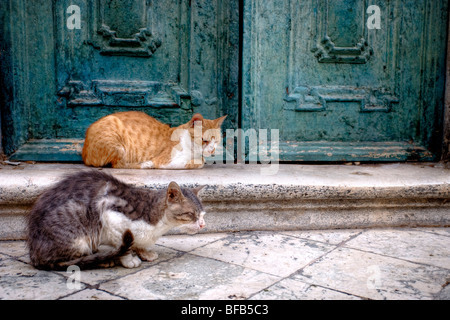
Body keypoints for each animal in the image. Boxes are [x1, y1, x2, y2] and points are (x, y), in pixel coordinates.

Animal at [26, 170, 206, 270]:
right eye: (191, 214)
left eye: (203, 214)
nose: (203, 224)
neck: (159, 226)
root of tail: (34, 253)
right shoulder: (110, 215)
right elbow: (124, 245)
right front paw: (129, 259)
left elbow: (137, 243)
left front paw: (145, 253)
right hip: (78, 233)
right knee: (69, 260)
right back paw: (101, 260)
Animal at [81, 110, 225, 169]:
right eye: (205, 140)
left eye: (216, 142)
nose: (212, 150)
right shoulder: (166, 161)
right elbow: (200, 162)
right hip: (118, 146)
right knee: (118, 164)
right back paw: (145, 164)